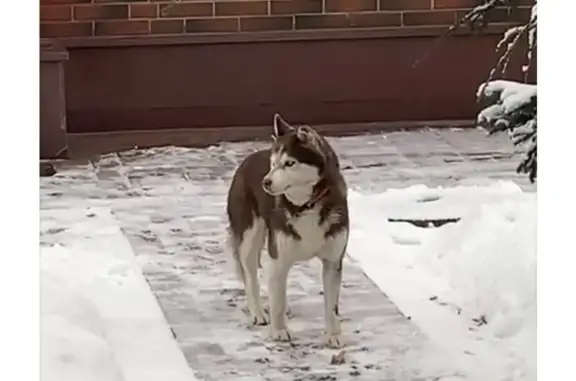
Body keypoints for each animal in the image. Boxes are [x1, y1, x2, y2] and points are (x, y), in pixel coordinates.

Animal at [227, 113, 348, 348]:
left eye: (289, 163)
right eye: (273, 164)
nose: (265, 182)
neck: (307, 205)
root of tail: (248, 159)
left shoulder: (333, 261)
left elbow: (331, 306)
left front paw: (334, 334)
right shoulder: (279, 258)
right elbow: (278, 301)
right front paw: (279, 330)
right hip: (249, 238)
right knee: (250, 277)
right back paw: (258, 311)